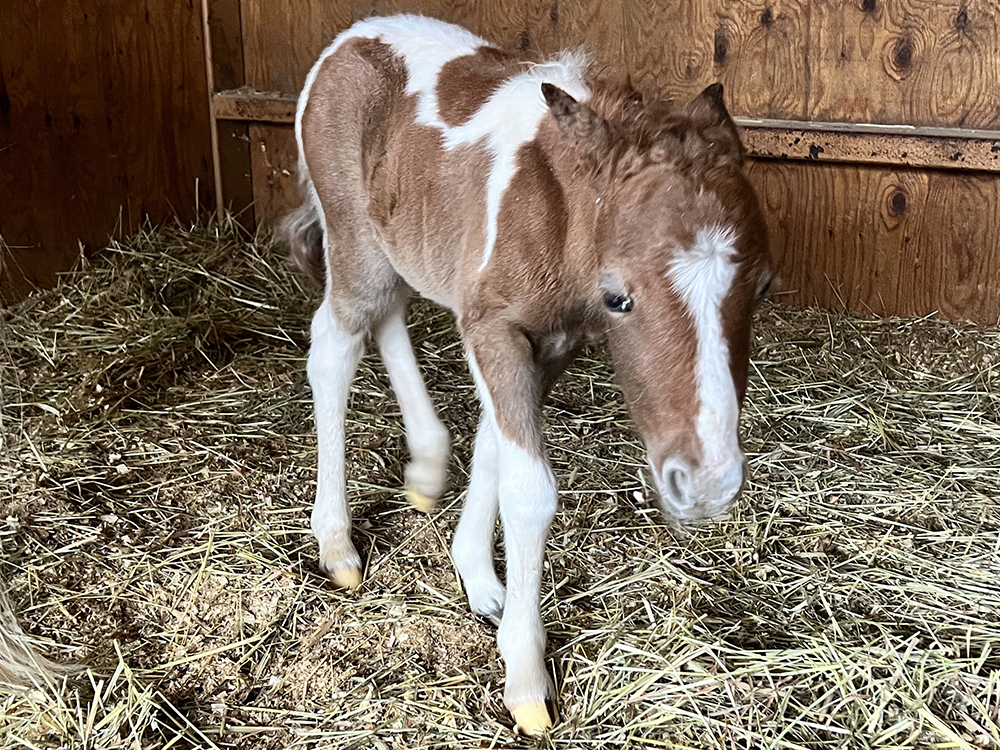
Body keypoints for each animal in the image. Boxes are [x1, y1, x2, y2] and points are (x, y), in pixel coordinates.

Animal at [286, 14, 776, 736]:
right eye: (619, 298)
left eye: (763, 287)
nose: (709, 483)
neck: (563, 214)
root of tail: (348, 40)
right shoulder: (495, 328)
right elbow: (529, 490)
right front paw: (524, 675)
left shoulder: (550, 342)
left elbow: (495, 446)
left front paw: (480, 580)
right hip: (353, 242)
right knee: (334, 348)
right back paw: (338, 545)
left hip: (399, 241)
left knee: (389, 315)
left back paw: (427, 467)